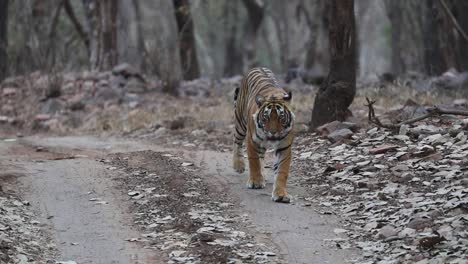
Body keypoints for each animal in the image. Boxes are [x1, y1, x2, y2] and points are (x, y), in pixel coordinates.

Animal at [232, 67, 294, 203]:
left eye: (281, 118)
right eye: (266, 118)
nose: (273, 132)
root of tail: (257, 67)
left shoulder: (284, 146)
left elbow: (282, 171)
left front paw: (281, 194)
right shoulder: (252, 140)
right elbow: (254, 161)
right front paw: (255, 182)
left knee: (261, 155)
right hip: (240, 123)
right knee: (236, 141)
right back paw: (238, 166)